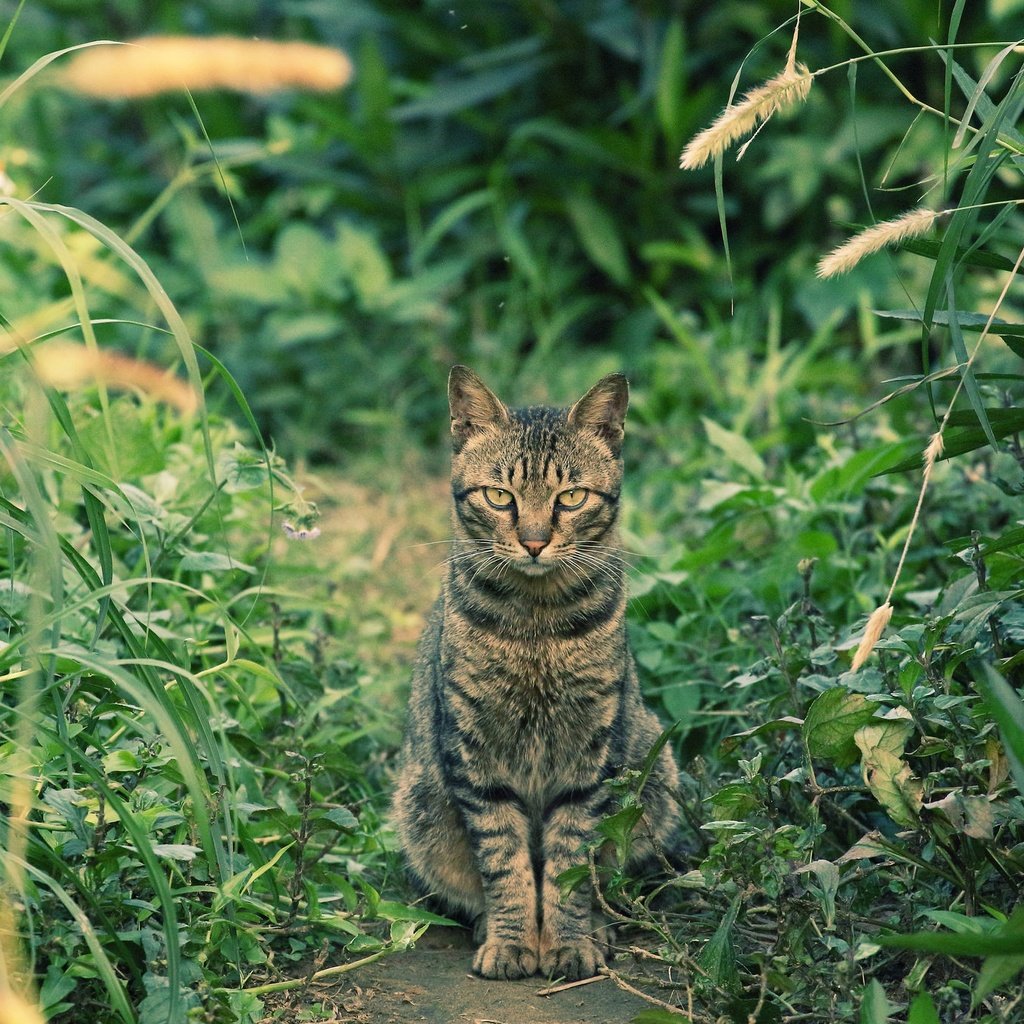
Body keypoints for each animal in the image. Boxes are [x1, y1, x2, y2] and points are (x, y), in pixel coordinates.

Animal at [393, 368, 679, 983]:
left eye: (570, 497)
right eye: (500, 496)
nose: (533, 541)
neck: (536, 625)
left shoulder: (591, 756)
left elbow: (571, 863)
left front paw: (568, 941)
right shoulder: (474, 754)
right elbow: (505, 862)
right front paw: (510, 941)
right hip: (420, 803)